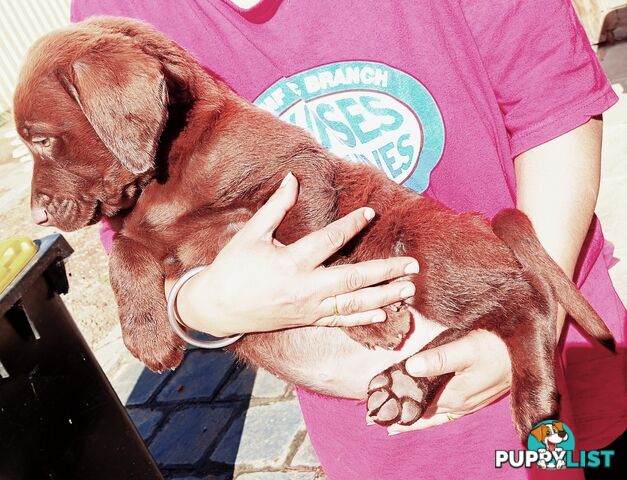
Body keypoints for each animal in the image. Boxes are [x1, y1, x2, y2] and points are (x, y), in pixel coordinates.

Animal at [12, 17, 616, 438]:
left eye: (41, 140)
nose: (38, 215)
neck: (167, 172)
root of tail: (481, 225)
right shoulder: (150, 235)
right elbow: (122, 253)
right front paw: (148, 338)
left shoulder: (300, 176)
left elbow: (313, 253)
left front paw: (375, 323)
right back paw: (406, 383)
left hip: (424, 252)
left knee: (523, 299)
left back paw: (523, 397)